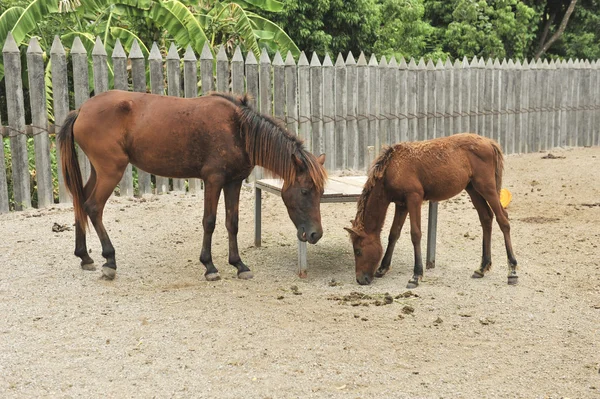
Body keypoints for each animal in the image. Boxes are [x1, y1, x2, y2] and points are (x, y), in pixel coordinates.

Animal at [58, 90, 326, 282]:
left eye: (321, 192)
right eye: (305, 191)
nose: (316, 234)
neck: (238, 129)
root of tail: (81, 110)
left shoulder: (234, 182)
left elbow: (232, 223)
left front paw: (239, 265)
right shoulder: (214, 180)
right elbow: (210, 221)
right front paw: (209, 266)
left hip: (99, 171)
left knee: (81, 202)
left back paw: (85, 257)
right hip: (110, 171)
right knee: (93, 207)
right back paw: (109, 261)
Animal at [344, 134, 516, 288]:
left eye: (358, 251)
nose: (360, 279)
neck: (392, 168)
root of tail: (489, 143)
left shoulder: (414, 199)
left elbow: (415, 234)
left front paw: (416, 275)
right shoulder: (401, 204)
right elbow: (394, 234)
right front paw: (383, 267)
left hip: (487, 188)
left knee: (503, 220)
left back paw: (512, 271)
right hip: (473, 189)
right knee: (486, 218)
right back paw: (482, 268)